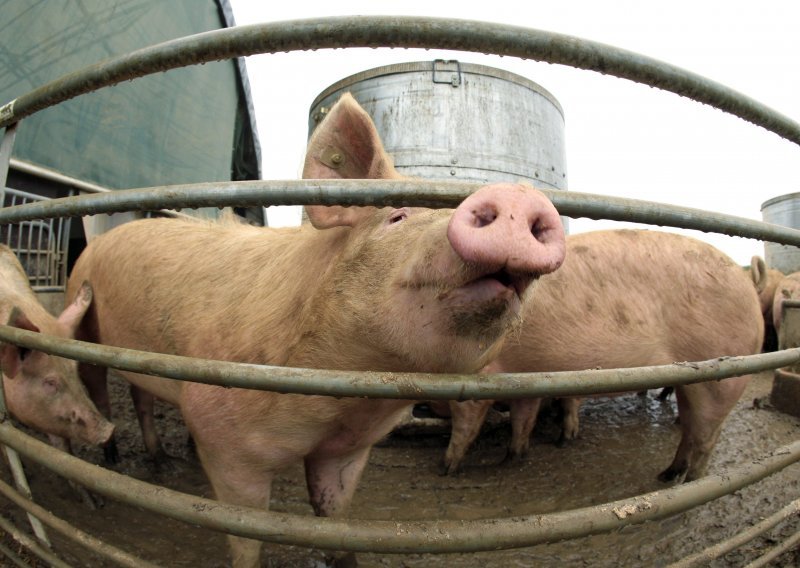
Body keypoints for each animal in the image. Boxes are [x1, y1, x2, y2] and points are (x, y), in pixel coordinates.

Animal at [70, 94, 568, 568]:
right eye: (398, 217)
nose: (517, 197)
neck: (342, 400)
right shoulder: (224, 440)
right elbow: (245, 543)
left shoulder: (346, 450)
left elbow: (335, 523)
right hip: (81, 317)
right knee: (97, 388)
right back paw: (110, 464)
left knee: (141, 397)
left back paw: (162, 462)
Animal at [444, 229, 764, 482]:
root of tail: (749, 287)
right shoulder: (526, 379)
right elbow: (523, 420)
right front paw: (511, 459)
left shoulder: (476, 379)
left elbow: (466, 425)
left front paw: (447, 468)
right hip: (689, 382)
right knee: (689, 429)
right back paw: (666, 475)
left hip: (720, 379)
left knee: (706, 439)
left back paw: (688, 483)